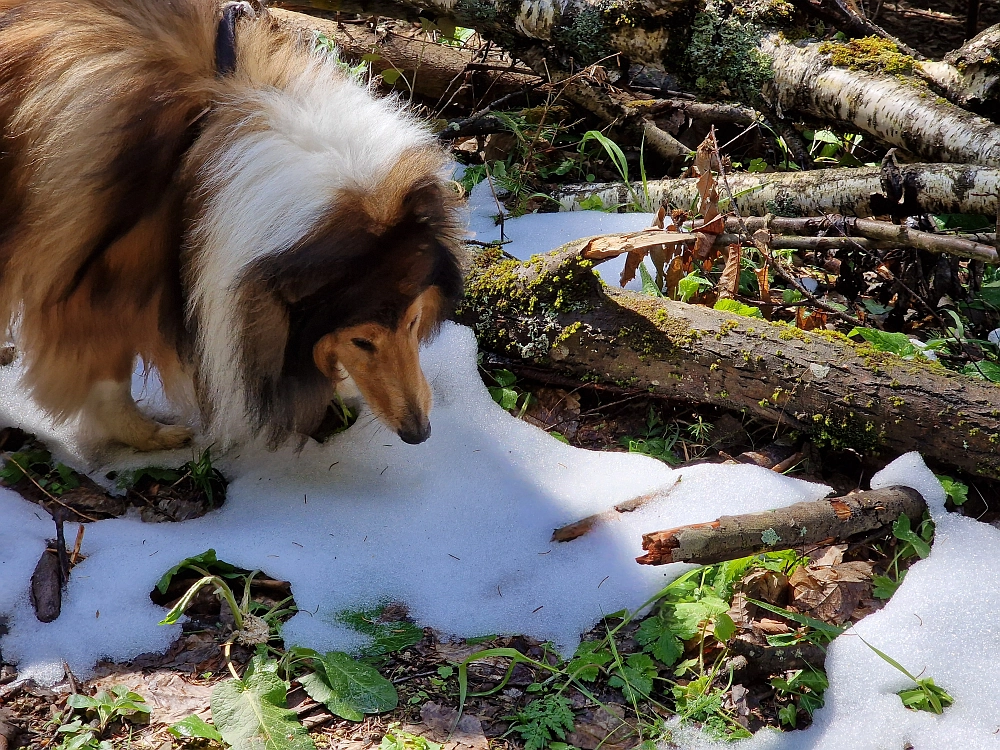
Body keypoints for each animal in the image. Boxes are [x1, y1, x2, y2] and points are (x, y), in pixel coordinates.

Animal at [0, 0, 462, 450]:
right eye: (362, 341)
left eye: (413, 322)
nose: (419, 434)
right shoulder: (91, 283)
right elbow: (107, 376)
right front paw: (147, 435)